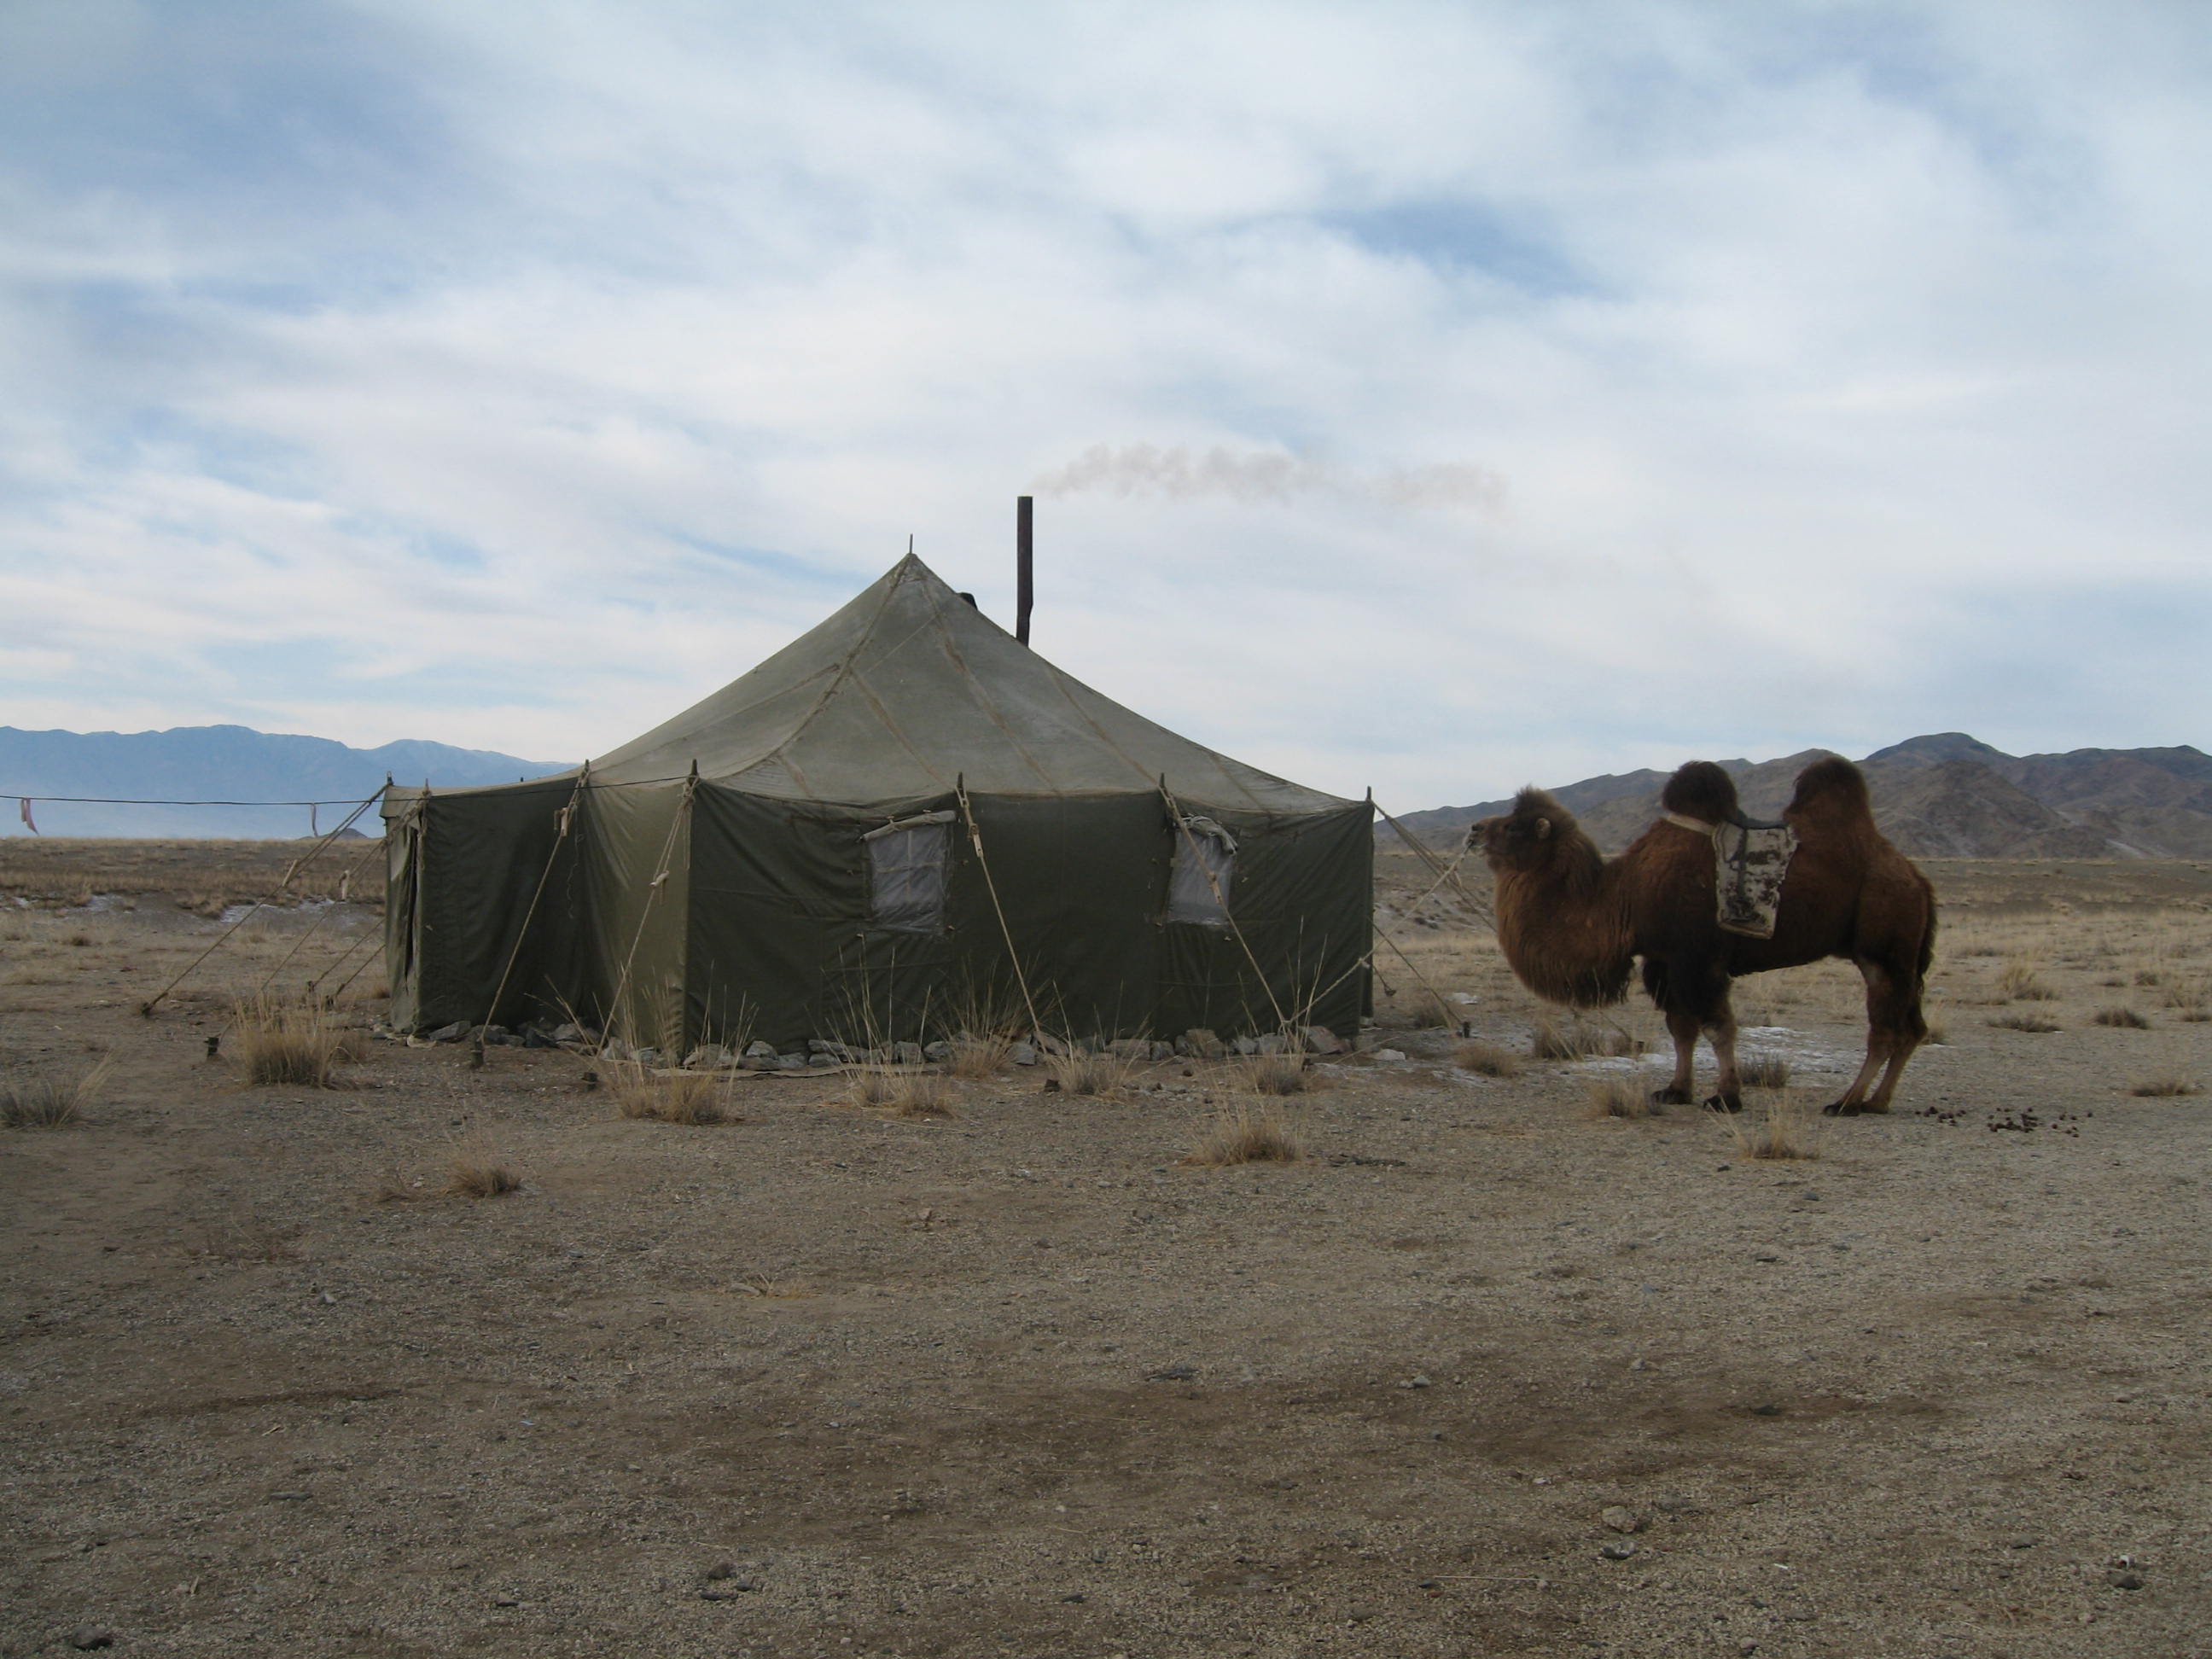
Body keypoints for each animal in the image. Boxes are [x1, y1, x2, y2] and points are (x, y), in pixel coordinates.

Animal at [1477, 760, 1946, 1110]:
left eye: (1515, 826)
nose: (1475, 830)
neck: (1624, 897)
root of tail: (1917, 877)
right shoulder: (1665, 960)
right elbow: (1681, 1027)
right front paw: (1676, 1090)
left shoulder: (1698, 958)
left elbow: (1718, 1027)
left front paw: (1726, 1097)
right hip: (1901, 956)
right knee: (1912, 1027)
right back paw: (1878, 1102)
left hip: (1883, 948)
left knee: (1886, 1028)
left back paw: (1848, 1102)